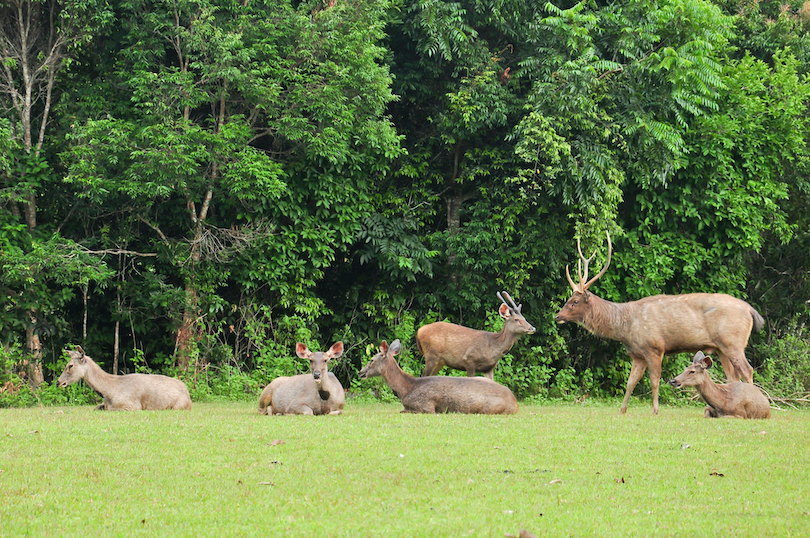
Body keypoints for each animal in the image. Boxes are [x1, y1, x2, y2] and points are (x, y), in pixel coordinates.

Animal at [556, 232, 764, 412]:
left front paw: (655, 410)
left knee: (747, 370)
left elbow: (654, 381)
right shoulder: (637, 355)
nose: (558, 316)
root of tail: (750, 310)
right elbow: (630, 383)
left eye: (574, 302)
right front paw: (622, 410)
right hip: (721, 347)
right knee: (733, 375)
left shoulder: (655, 348)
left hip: (733, 341)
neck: (626, 327)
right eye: (569, 298)